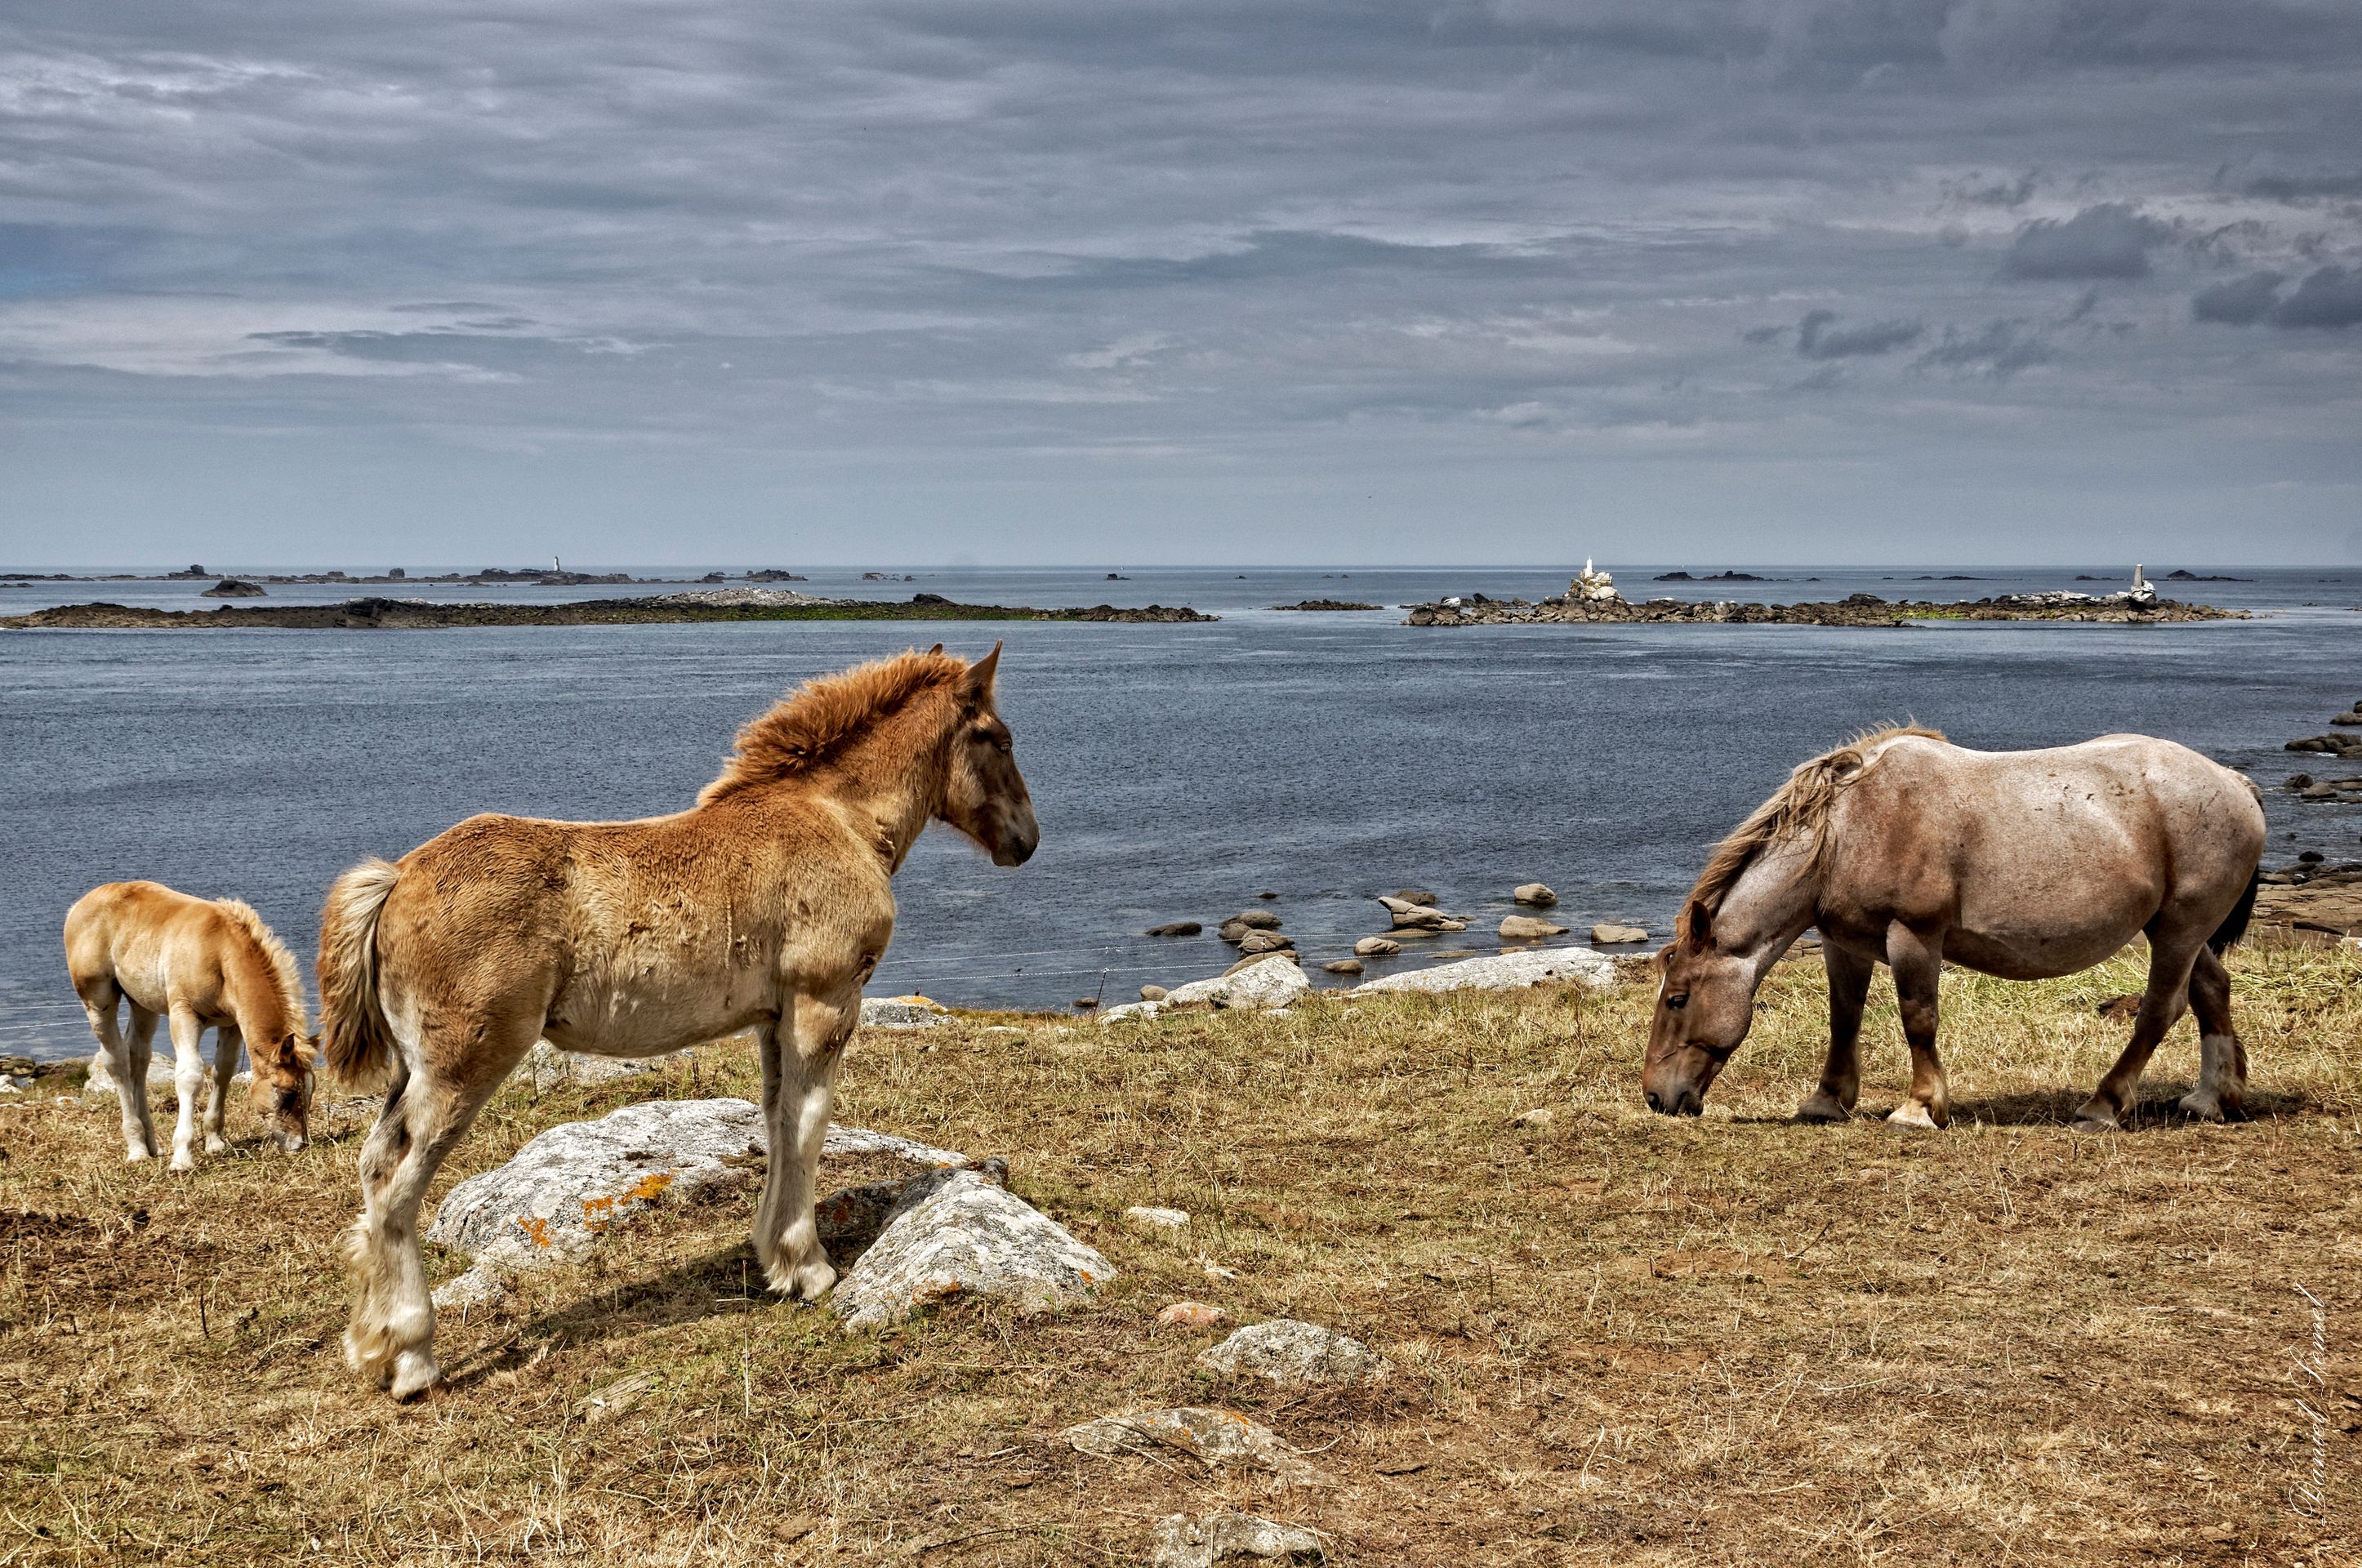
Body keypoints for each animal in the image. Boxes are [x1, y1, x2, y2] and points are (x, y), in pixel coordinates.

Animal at [63, 881, 317, 1168]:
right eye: (287, 1094)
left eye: (310, 1091)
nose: (299, 1143)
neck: (218, 952)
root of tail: (79, 905)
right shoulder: (184, 1013)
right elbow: (190, 1074)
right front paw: (182, 1156)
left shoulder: (232, 1023)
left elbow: (223, 1070)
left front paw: (215, 1142)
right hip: (98, 1000)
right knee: (116, 1060)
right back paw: (137, 1148)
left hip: (143, 1003)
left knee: (138, 1056)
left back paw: (152, 1144)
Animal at [317, 645, 1038, 1399]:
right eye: (1001, 739)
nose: (1027, 840)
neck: (835, 815)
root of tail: (398, 875)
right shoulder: (826, 997)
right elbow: (810, 1126)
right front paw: (809, 1269)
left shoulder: (773, 1016)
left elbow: (777, 1120)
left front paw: (772, 1258)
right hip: (464, 1064)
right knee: (397, 1184)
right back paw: (413, 1358)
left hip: (413, 1068)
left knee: (374, 1165)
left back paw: (370, 1346)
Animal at [1641, 727, 2265, 1134]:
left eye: (1678, 999)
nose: (1655, 1096)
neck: (1847, 831)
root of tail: (2235, 783)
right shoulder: (1845, 944)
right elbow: (1844, 1019)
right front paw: (1827, 1101)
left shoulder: (1914, 936)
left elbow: (1918, 1020)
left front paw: (1919, 1108)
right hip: (2181, 932)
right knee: (2213, 991)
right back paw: (2212, 1098)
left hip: (2179, 930)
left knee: (2161, 1010)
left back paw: (2103, 1106)